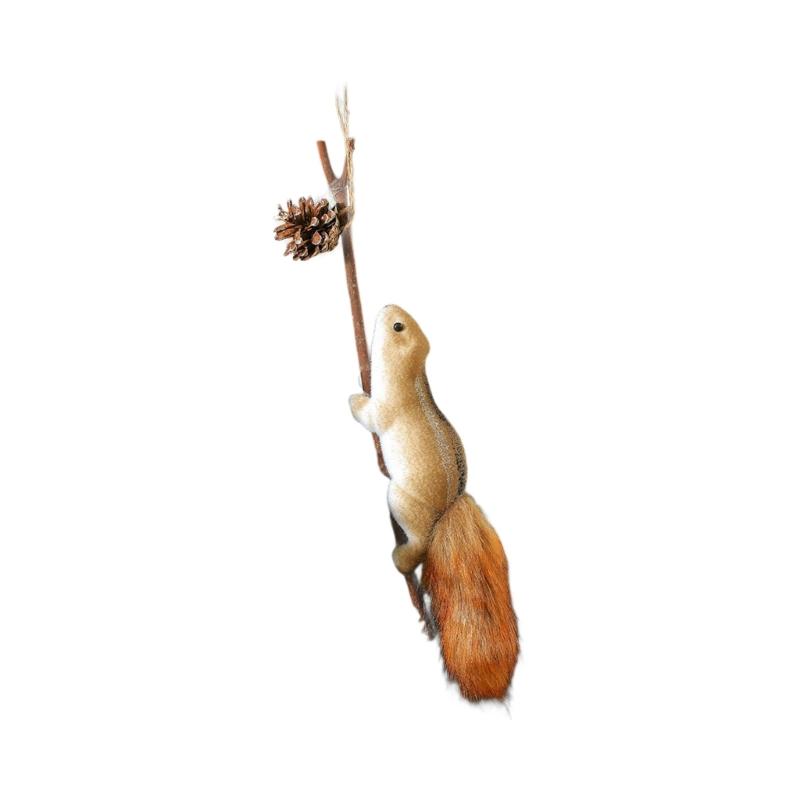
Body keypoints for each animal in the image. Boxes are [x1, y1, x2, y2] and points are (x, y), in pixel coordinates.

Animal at [349, 305, 519, 701]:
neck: (412, 376)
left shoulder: (382, 410)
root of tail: (446, 513)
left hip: (400, 502)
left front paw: (353, 397)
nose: (388, 306)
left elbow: (366, 415)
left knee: (411, 551)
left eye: (398, 326)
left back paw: (400, 559)